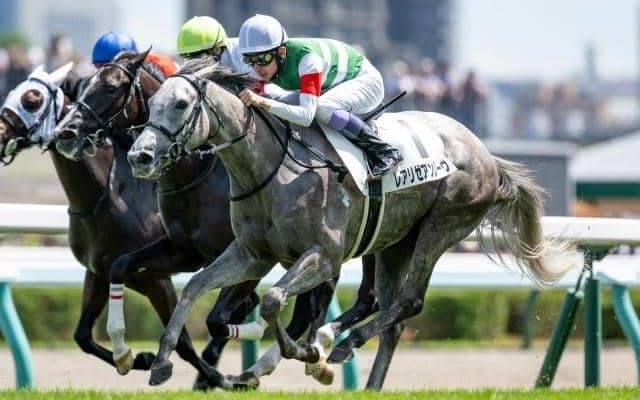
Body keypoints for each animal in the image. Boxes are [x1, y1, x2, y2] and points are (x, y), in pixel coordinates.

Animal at [0, 62, 225, 389]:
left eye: (32, 100)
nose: (0, 132)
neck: (108, 197)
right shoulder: (99, 272)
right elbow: (82, 335)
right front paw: (136, 359)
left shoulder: (156, 278)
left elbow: (182, 341)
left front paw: (225, 378)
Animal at [54, 50, 379, 389]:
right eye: (81, 87)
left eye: (112, 87)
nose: (66, 133)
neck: (195, 176)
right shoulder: (182, 252)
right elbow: (121, 269)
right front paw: (127, 354)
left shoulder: (248, 257)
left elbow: (218, 319)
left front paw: (218, 372)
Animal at [129, 57, 580, 390]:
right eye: (151, 105)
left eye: (181, 104)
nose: (140, 156)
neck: (273, 171)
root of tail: (487, 155)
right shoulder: (251, 254)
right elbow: (195, 288)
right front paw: (161, 362)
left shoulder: (323, 258)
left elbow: (274, 301)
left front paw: (306, 352)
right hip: (393, 242)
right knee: (390, 314)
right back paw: (366, 379)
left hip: (441, 226)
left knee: (409, 302)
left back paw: (343, 345)